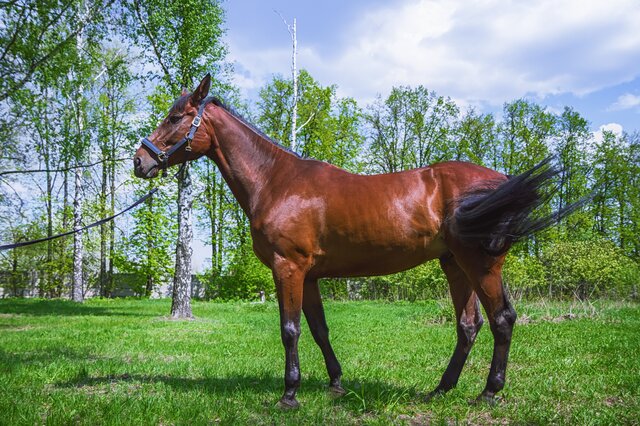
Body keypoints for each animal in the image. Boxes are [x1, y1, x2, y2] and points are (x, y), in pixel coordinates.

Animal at [134, 75, 580, 408]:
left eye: (176, 117)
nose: (141, 161)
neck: (277, 181)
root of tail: (499, 180)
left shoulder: (287, 267)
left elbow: (290, 329)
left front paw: (289, 395)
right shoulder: (309, 275)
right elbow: (318, 329)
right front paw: (335, 383)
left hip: (479, 264)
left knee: (502, 319)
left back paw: (489, 392)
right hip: (456, 265)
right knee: (468, 326)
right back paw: (441, 389)